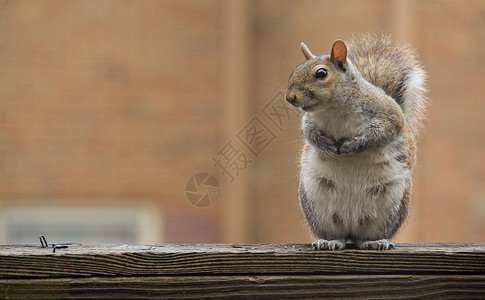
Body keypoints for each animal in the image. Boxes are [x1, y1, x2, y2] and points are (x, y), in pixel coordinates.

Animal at [286, 34, 426, 251]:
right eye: (294, 71)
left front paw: (352, 146)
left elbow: (380, 135)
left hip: (393, 205)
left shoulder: (388, 116)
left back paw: (375, 241)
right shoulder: (310, 121)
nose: (289, 97)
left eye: (321, 73)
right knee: (339, 236)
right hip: (317, 205)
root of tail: (352, 227)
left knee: (365, 238)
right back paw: (330, 241)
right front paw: (325, 145)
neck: (333, 109)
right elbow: (309, 133)